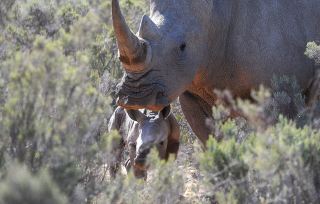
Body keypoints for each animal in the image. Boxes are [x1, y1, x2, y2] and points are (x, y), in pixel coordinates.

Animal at [112, 0, 320, 146]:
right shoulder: (192, 91)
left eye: (182, 47)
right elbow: (212, 141)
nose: (135, 98)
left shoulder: (280, 93)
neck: (217, 15)